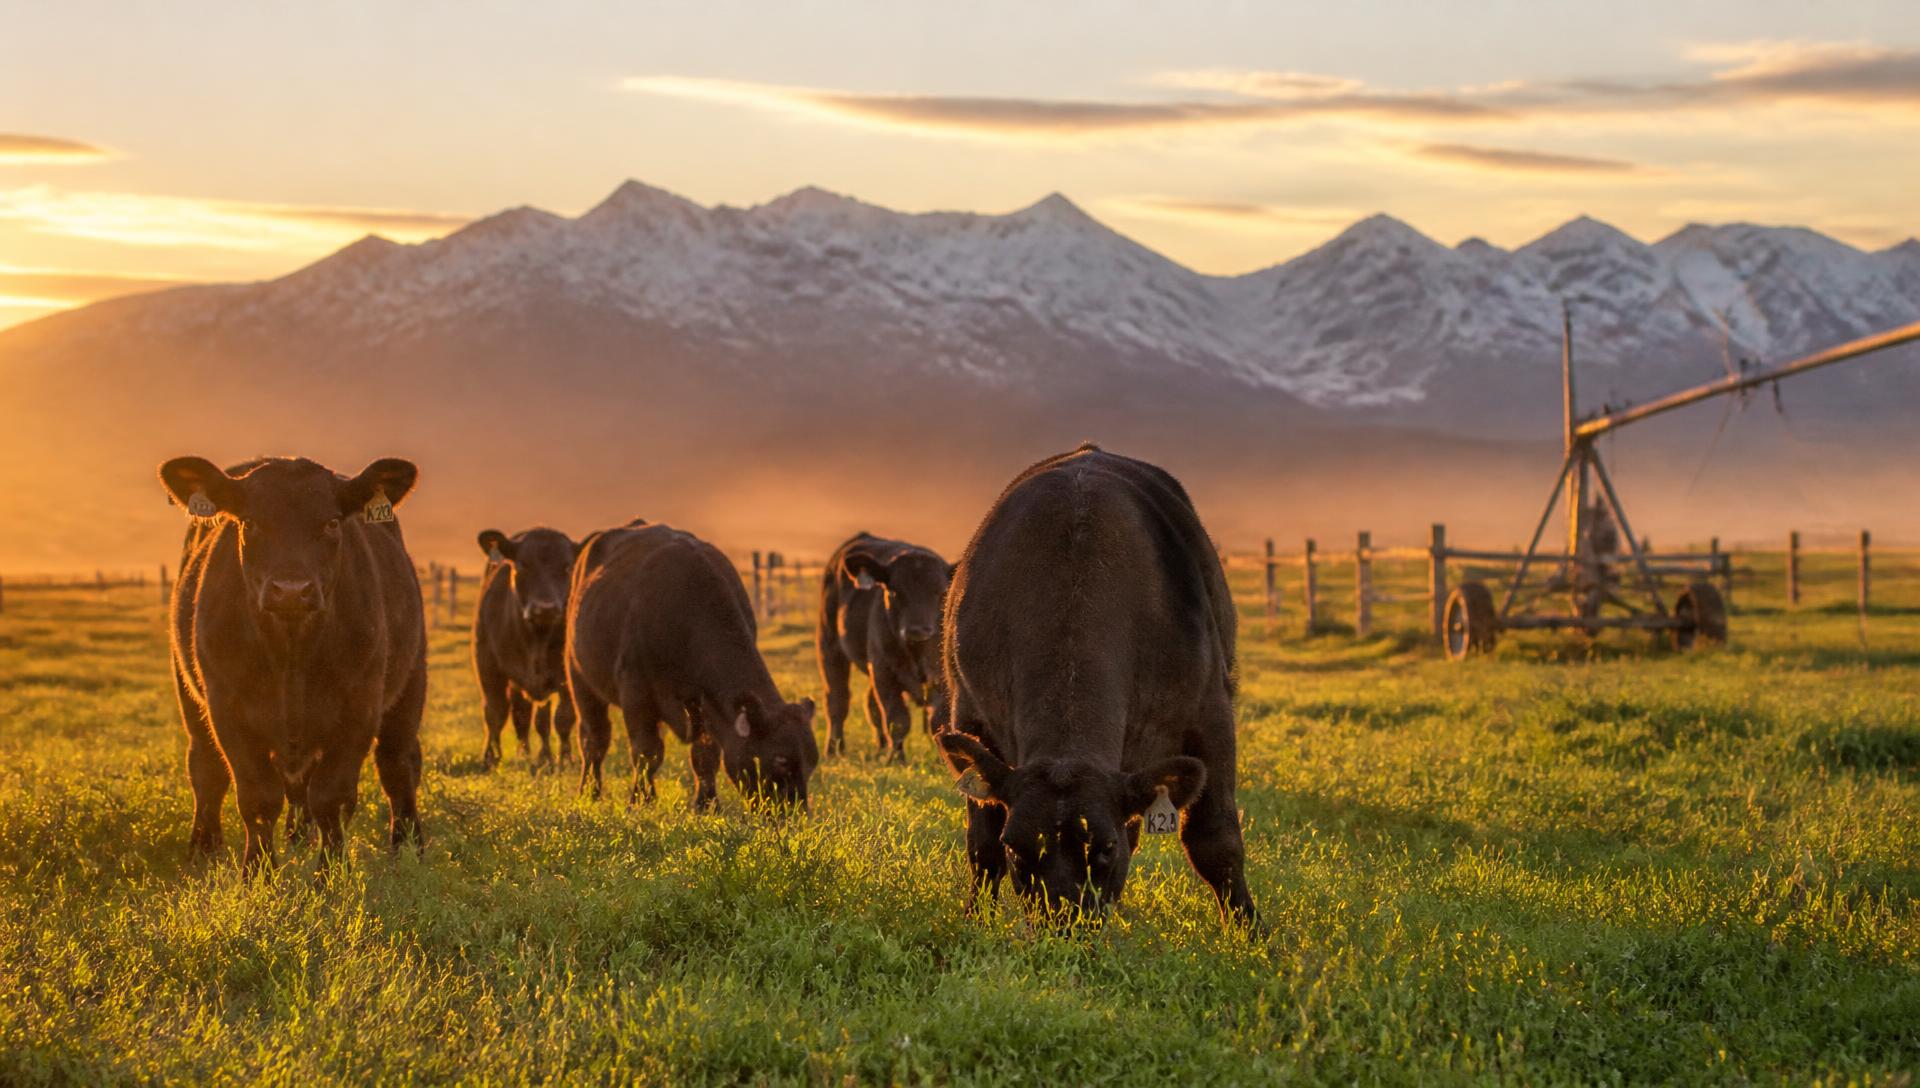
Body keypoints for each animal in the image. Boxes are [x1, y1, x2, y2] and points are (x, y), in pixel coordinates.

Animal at [159, 455, 426, 872]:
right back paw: (206, 848)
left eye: (332, 522)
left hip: (410, 681)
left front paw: (331, 873)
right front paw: (257, 873)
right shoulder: (227, 709)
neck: (292, 653)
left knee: (398, 764)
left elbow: (332, 798)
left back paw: (407, 846)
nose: (290, 590)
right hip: (190, 695)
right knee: (207, 768)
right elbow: (257, 798)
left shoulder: (359, 708)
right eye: (249, 522)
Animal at [473, 527, 579, 772]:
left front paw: (563, 759)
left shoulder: (565, 676)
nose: (545, 608)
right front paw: (490, 757)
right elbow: (495, 712)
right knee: (520, 715)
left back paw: (542, 755)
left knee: (539, 719)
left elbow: (563, 717)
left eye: (567, 567)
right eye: (522, 564)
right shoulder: (487, 665)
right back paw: (524, 753)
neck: (536, 639)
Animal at [566, 520, 819, 809]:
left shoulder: (706, 705)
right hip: (579, 679)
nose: (796, 811)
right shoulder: (636, 696)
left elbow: (705, 755)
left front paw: (707, 803)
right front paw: (641, 800)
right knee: (594, 739)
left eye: (812, 763)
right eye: (781, 760)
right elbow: (646, 751)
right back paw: (589, 791)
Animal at [816, 532, 952, 761]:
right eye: (894, 591)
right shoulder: (884, 673)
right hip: (830, 645)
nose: (917, 630)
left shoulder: (940, 679)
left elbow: (939, 722)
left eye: (940, 592)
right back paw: (834, 750)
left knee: (870, 703)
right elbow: (898, 721)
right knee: (837, 700)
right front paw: (897, 759)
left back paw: (880, 747)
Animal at [936, 444, 1257, 925]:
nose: (1062, 929)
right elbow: (982, 844)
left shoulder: (1211, 713)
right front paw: (978, 923)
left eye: (1104, 848)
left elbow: (1215, 840)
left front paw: (1251, 934)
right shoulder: (969, 712)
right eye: (1017, 849)